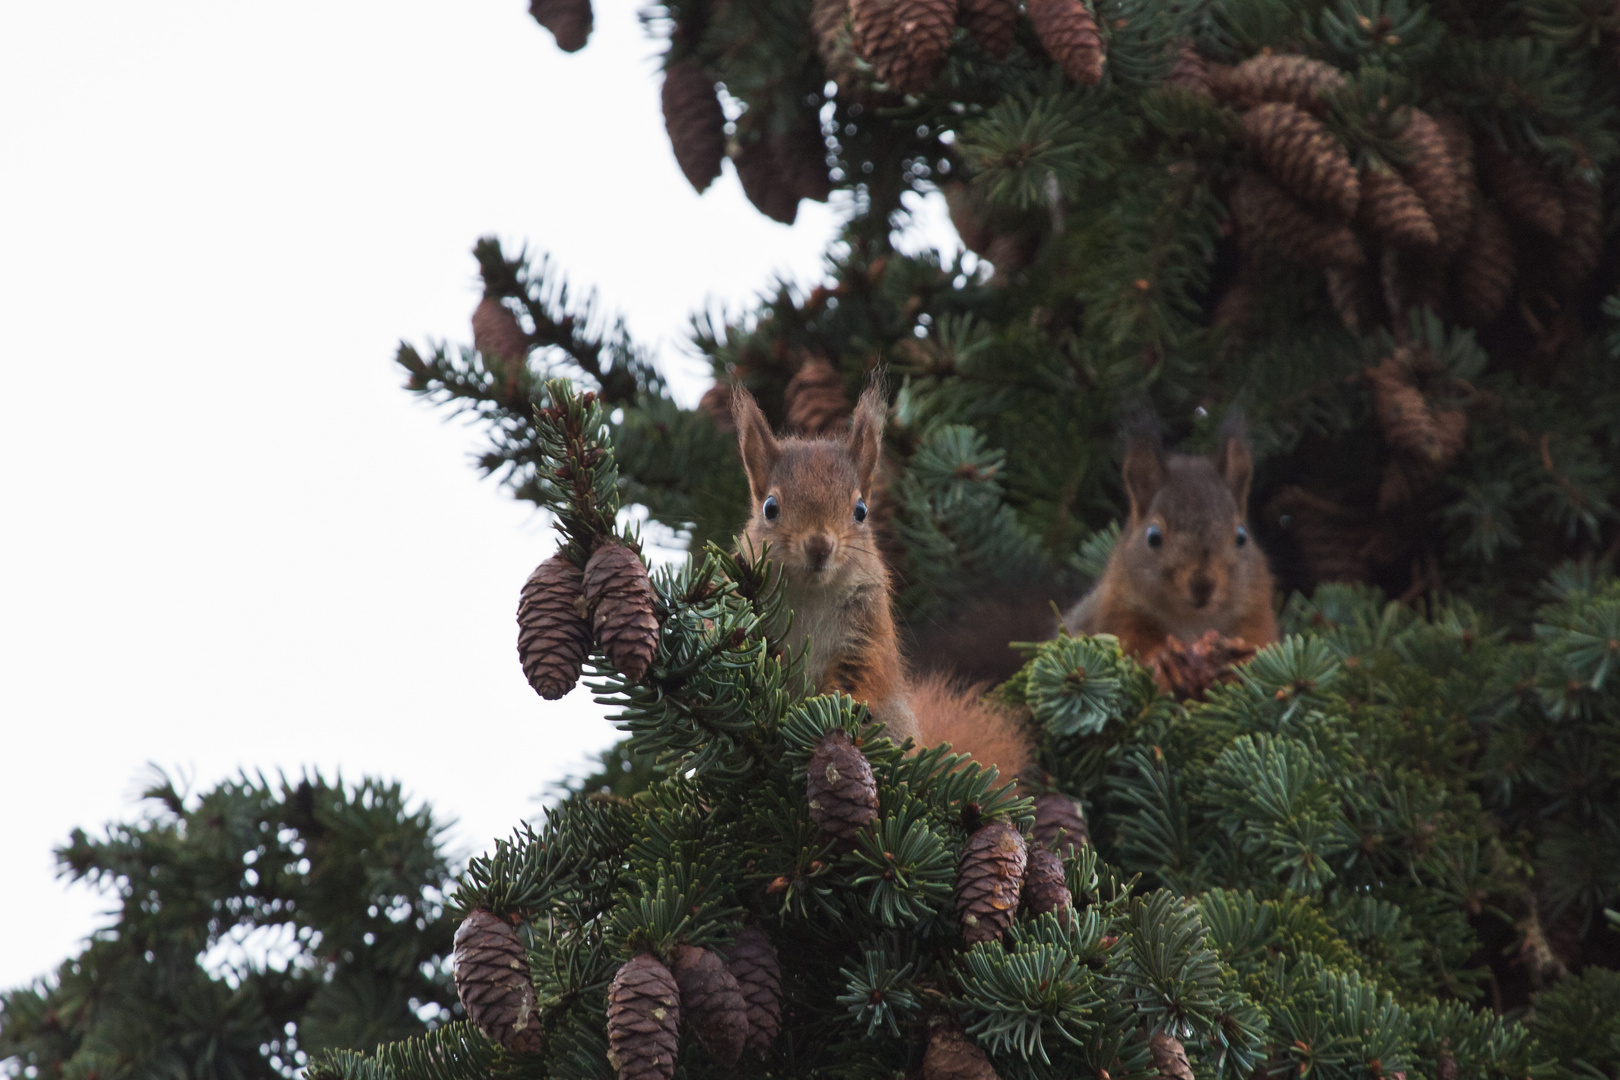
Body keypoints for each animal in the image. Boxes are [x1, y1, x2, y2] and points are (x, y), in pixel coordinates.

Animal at [732, 383, 1030, 780]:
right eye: (770, 508)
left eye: (861, 511)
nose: (819, 546)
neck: (811, 595)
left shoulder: (866, 629)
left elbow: (862, 674)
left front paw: (833, 702)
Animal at [1062, 420, 1276, 660]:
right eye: (1153, 537)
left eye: (1241, 536)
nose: (1202, 585)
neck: (1193, 622)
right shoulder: (1119, 614)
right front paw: (1162, 658)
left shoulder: (1255, 614)